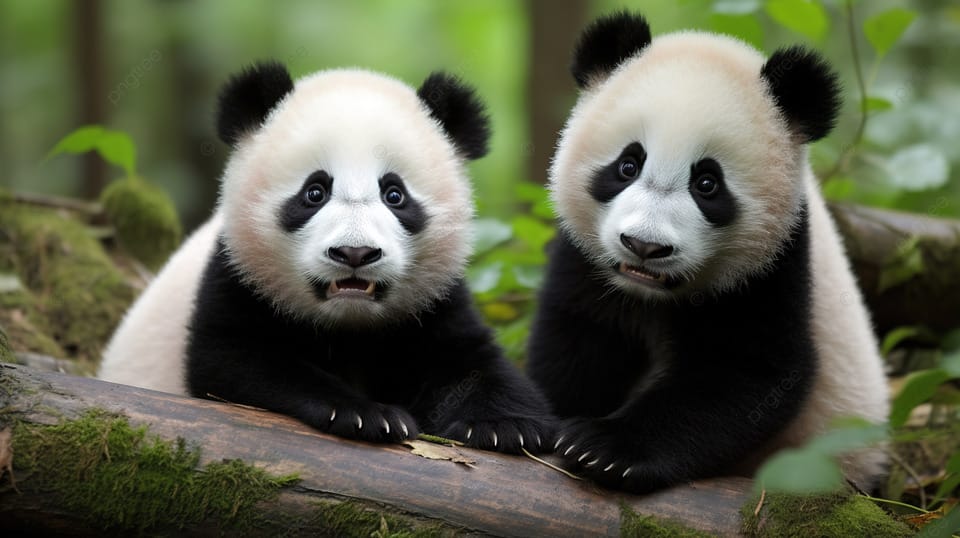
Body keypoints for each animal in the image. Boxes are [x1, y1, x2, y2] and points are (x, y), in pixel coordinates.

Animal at [98, 61, 553, 453]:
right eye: (314, 192)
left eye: (394, 194)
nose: (355, 252)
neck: (349, 326)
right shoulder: (238, 278)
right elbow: (238, 362)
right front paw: (368, 414)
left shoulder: (434, 302)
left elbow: (470, 361)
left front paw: (504, 425)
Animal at [526, 11, 889, 492]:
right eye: (628, 165)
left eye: (707, 183)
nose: (644, 246)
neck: (649, 294)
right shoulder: (585, 261)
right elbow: (577, 339)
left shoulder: (777, 265)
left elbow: (745, 374)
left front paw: (603, 447)